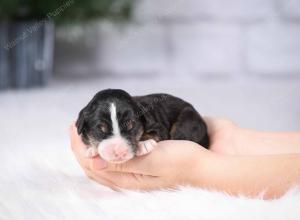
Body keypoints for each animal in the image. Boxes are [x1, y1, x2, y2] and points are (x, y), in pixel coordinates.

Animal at [76, 89, 210, 163]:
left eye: (130, 124)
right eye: (101, 128)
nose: (120, 152)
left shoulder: (158, 127)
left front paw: (144, 145)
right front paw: (92, 149)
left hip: (188, 120)